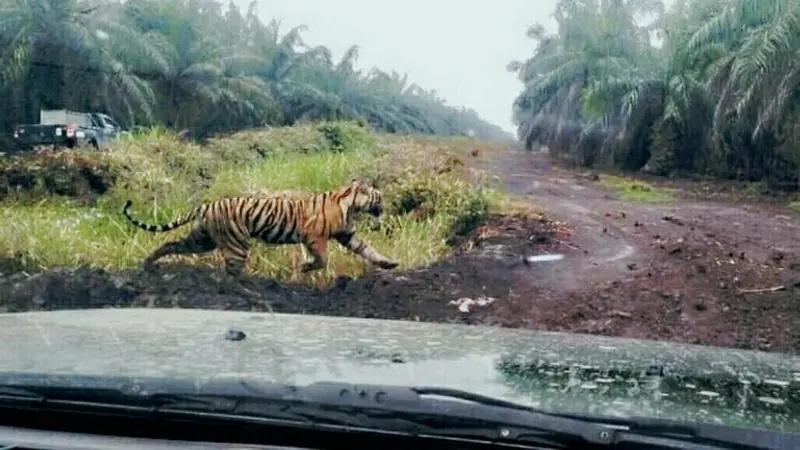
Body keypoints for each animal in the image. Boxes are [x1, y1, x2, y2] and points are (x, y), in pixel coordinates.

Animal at [119, 181, 400, 276]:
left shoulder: (347, 234)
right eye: (379, 197)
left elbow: (368, 250)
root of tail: (206, 205)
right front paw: (304, 268)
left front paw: (388, 263)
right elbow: (322, 259)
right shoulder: (314, 236)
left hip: (202, 240)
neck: (350, 207)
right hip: (235, 244)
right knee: (230, 275)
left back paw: (148, 264)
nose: (384, 207)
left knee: (170, 244)